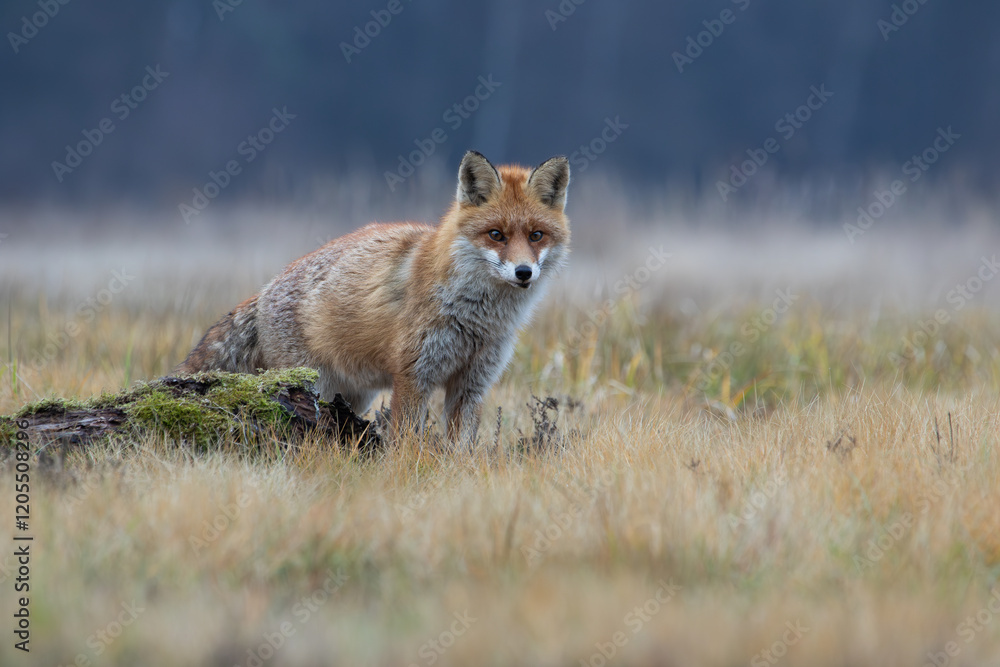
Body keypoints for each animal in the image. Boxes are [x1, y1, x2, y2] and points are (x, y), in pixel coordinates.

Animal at [177, 151, 571, 446]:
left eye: (536, 235)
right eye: (496, 235)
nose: (524, 272)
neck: (477, 320)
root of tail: (265, 289)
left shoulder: (471, 384)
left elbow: (461, 449)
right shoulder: (413, 376)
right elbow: (406, 442)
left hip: (352, 396)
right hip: (311, 389)